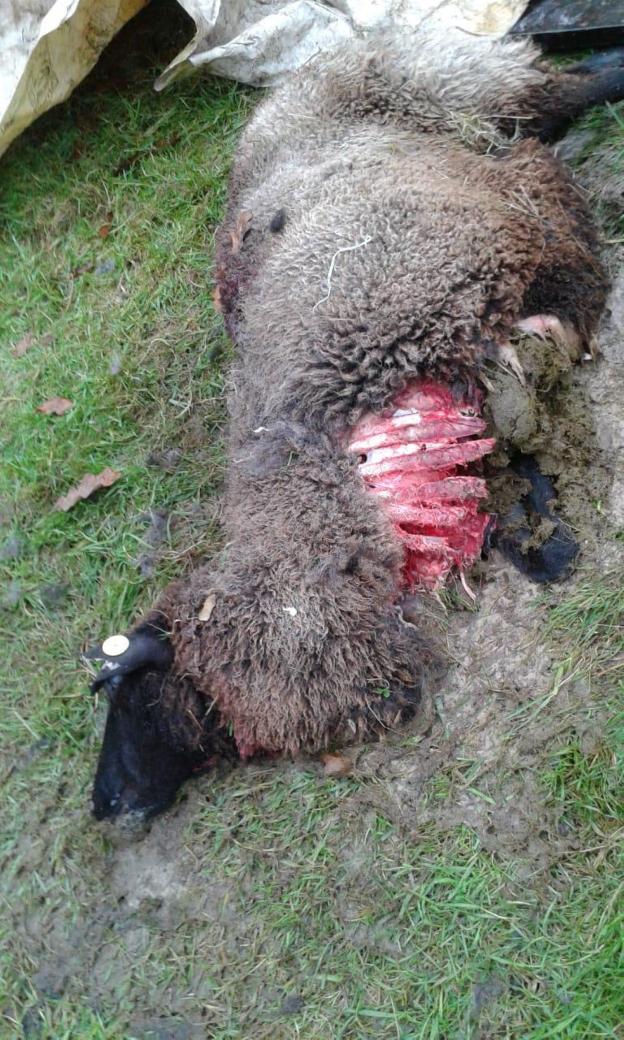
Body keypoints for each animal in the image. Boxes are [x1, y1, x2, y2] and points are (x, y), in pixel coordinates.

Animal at [88, 32, 624, 821]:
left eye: (130, 688)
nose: (102, 804)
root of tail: (296, 79)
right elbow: (526, 492)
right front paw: (545, 541)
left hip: (461, 83)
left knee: (566, 87)